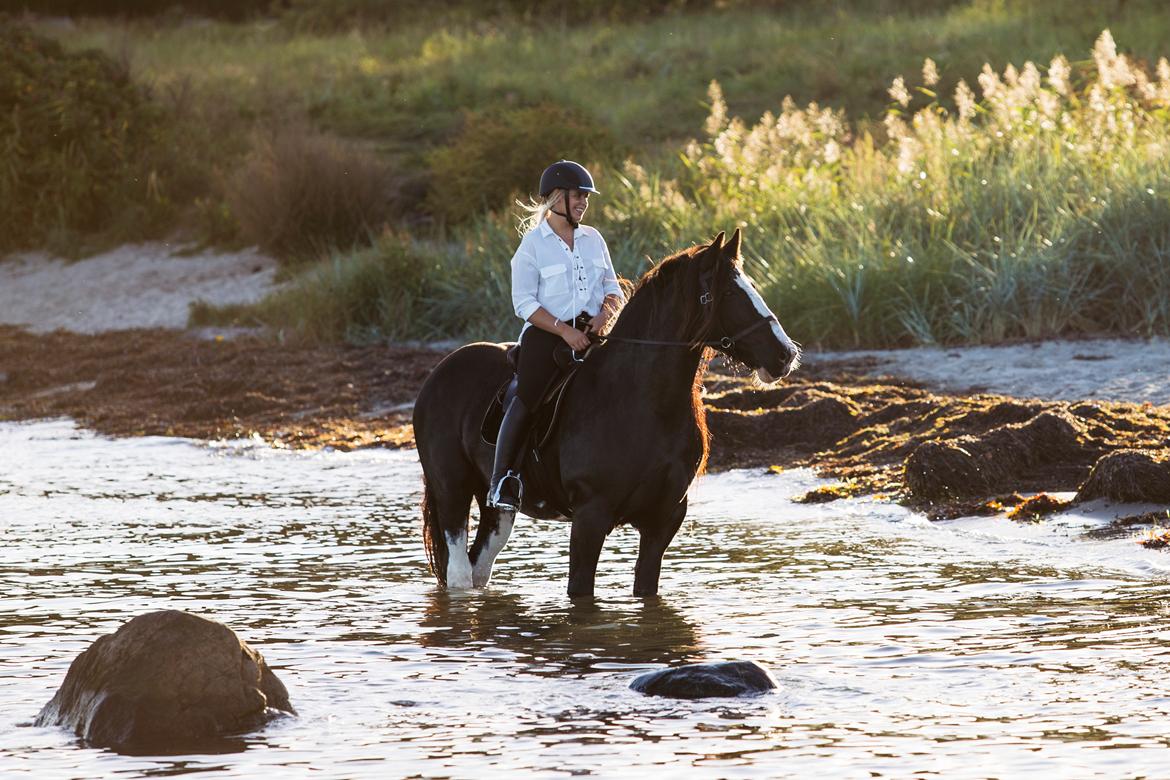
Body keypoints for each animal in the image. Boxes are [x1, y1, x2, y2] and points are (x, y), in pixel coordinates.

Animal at [409, 229, 795, 603]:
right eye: (729, 292)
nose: (786, 354)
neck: (642, 402)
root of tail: (441, 371)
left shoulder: (663, 520)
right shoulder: (590, 518)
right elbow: (581, 593)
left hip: (497, 508)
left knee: (479, 564)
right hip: (452, 489)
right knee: (459, 572)